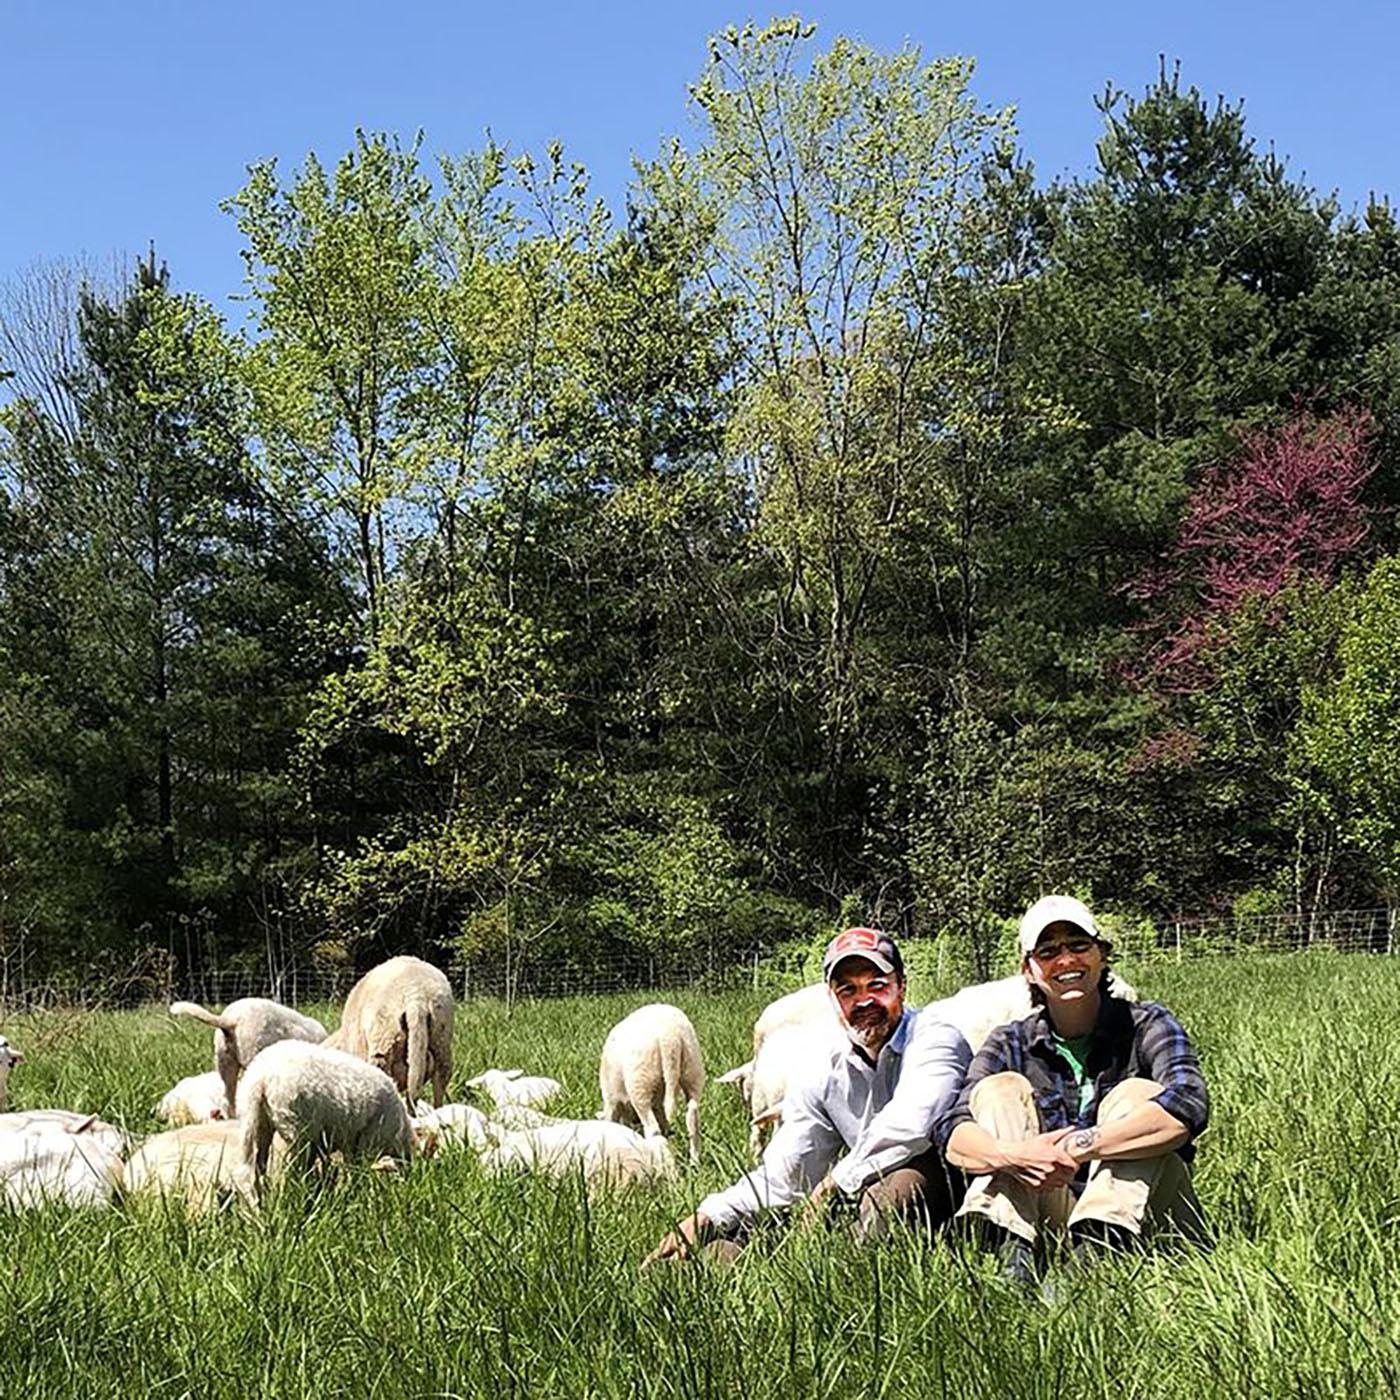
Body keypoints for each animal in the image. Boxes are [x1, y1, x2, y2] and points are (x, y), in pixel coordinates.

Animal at [235, 1041, 417, 1192]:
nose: (411, 1178)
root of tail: (260, 1079)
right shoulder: (367, 1141)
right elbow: (357, 1172)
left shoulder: (343, 1143)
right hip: (295, 1126)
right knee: (290, 1171)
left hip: (259, 1122)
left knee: (256, 1170)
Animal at [599, 1002, 705, 1164]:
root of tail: (670, 1036)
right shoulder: (657, 1104)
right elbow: (664, 1122)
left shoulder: (611, 1099)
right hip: (692, 1069)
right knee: (692, 1118)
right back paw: (694, 1162)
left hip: (640, 1083)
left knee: (653, 1129)